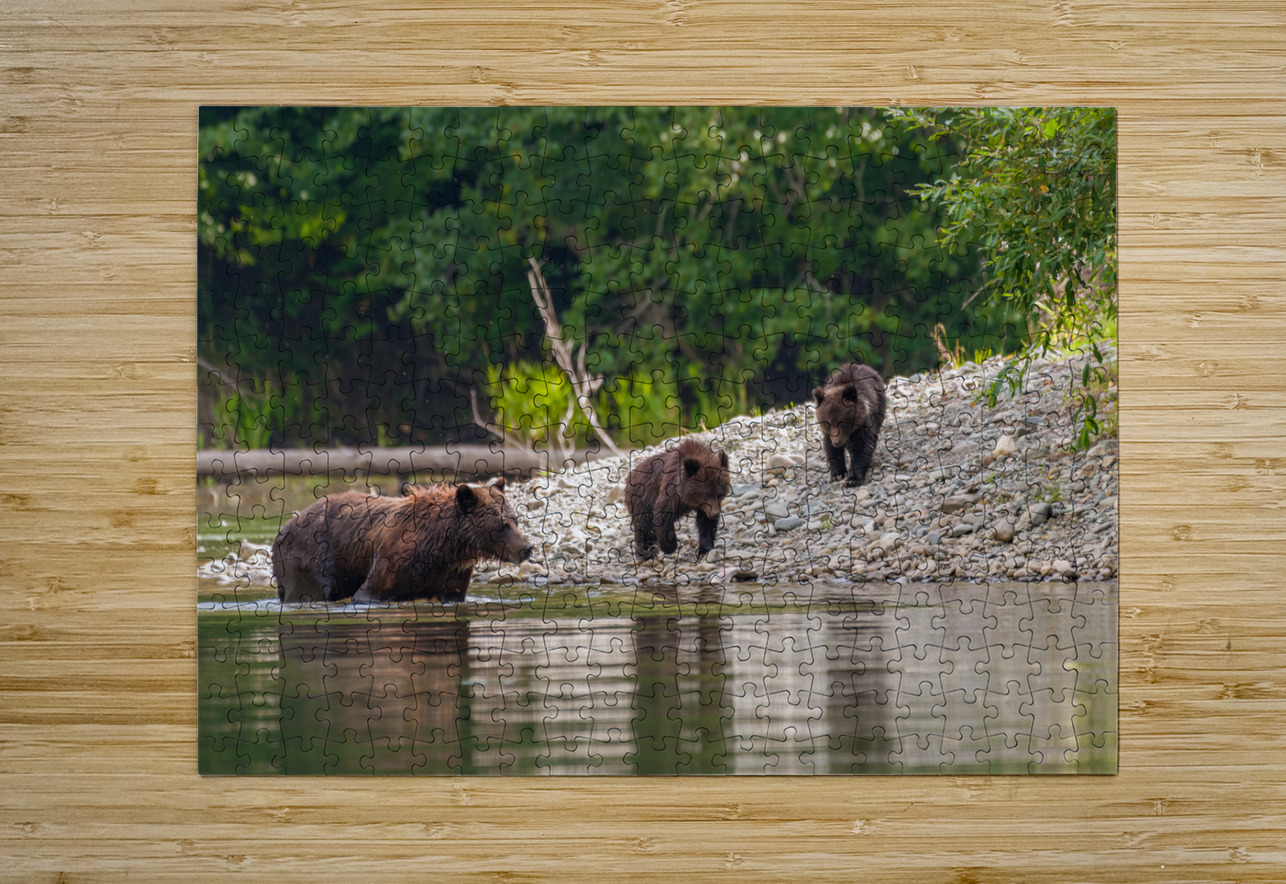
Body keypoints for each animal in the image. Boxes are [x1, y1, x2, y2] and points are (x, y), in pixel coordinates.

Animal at [272, 477, 534, 604]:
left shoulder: (452, 573)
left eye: (515, 518)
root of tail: (283, 529)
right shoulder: (395, 559)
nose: (527, 548)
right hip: (311, 559)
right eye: (501, 525)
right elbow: (369, 592)